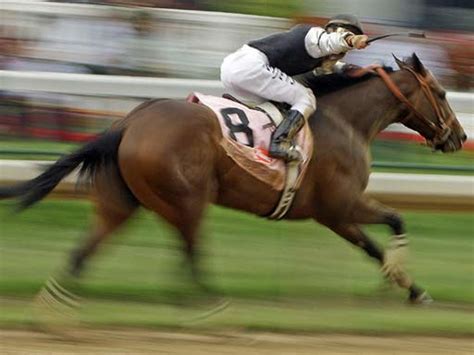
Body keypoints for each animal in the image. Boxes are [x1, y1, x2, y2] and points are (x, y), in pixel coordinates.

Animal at [0, 52, 466, 304]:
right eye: (442, 94)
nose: (459, 137)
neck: (345, 121)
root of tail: (130, 121)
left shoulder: (333, 214)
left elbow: (371, 246)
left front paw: (410, 288)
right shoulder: (340, 203)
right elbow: (396, 221)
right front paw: (403, 280)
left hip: (124, 199)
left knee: (85, 250)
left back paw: (56, 303)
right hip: (186, 198)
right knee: (190, 251)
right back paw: (212, 304)